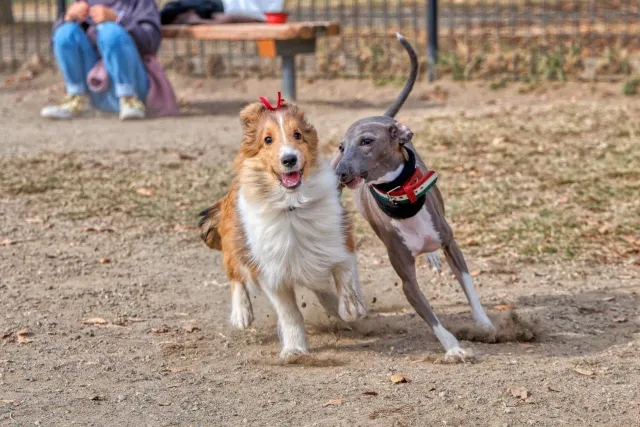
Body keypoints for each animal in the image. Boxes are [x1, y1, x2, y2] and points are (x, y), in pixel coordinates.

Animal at [200, 94, 364, 358]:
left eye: (297, 135)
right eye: (268, 140)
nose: (289, 159)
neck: (292, 205)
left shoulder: (337, 241)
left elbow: (345, 274)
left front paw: (350, 309)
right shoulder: (271, 271)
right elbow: (290, 313)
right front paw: (295, 349)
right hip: (236, 242)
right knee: (235, 274)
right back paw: (241, 313)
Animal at [330, 33, 496, 362]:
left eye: (367, 141)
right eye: (342, 147)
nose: (340, 173)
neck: (401, 198)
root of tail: (382, 115)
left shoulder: (451, 243)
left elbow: (469, 285)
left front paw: (483, 322)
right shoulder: (406, 280)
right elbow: (431, 316)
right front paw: (453, 347)